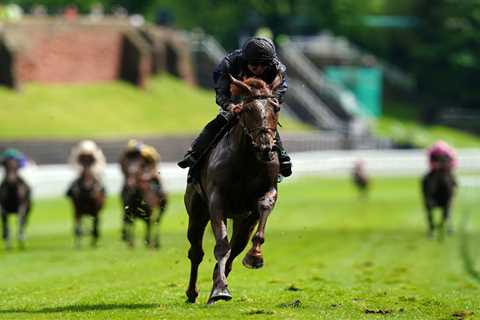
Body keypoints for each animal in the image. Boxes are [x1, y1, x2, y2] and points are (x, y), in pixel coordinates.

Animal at [184, 75, 282, 304]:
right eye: (248, 109)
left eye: (276, 108)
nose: (266, 147)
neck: (247, 160)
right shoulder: (216, 201)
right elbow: (221, 245)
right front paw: (220, 289)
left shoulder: (265, 195)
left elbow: (264, 210)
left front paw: (255, 257)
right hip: (197, 212)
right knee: (196, 252)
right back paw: (194, 292)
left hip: (242, 221)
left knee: (236, 249)